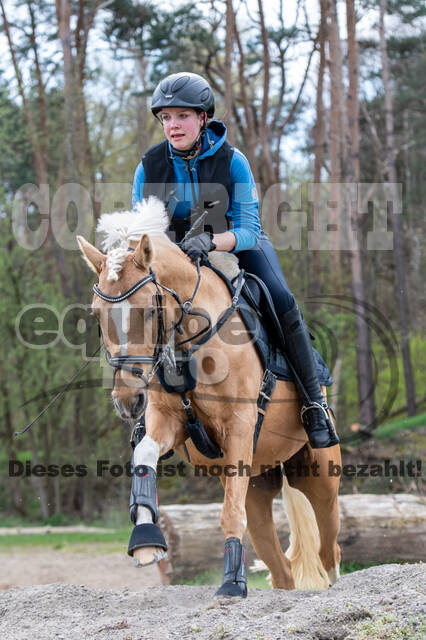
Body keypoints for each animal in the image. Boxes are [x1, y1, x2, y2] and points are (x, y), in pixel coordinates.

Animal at [77, 198, 342, 596]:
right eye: (97, 314)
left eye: (150, 310)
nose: (127, 401)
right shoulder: (168, 421)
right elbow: (145, 455)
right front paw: (146, 541)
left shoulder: (240, 427)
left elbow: (230, 513)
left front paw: (232, 583)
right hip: (259, 484)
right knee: (281, 569)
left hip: (320, 476)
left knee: (330, 551)